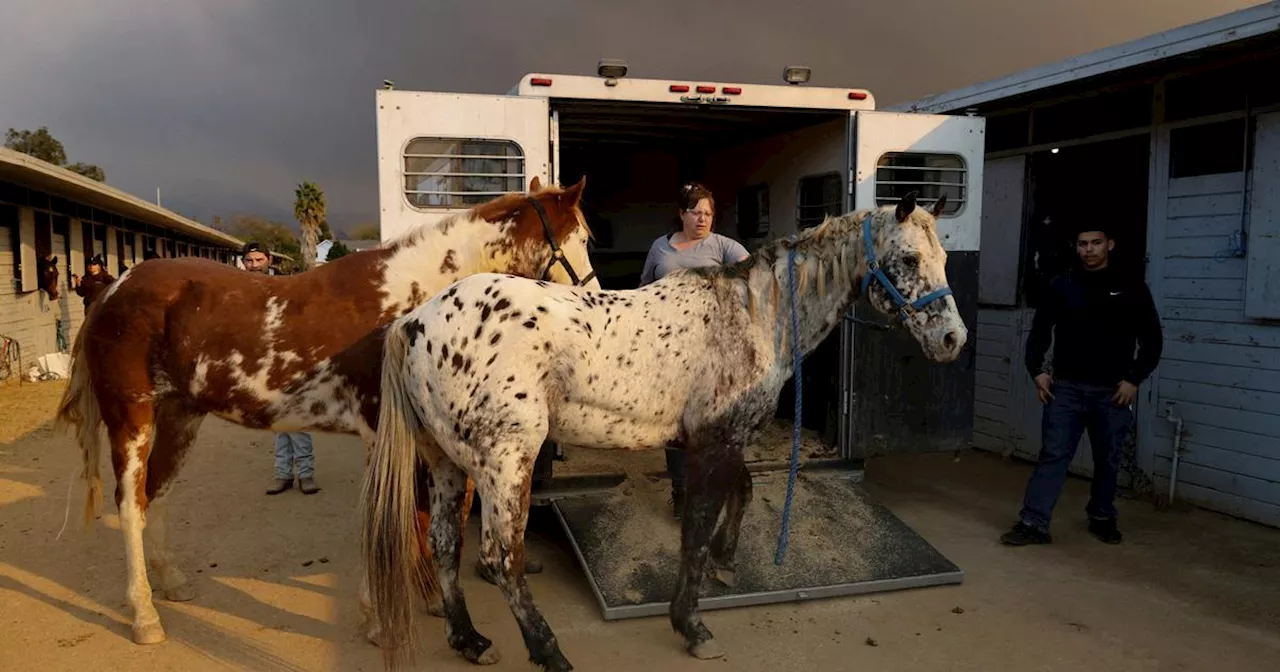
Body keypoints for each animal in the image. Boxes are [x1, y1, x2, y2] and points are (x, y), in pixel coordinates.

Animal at [52, 175, 601, 647]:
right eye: (580, 236)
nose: (595, 297)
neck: (409, 306)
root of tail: (113, 290)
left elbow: (418, 517)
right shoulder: (383, 434)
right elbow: (392, 518)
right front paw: (379, 620)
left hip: (180, 415)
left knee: (156, 494)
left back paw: (171, 582)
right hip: (132, 417)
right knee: (129, 504)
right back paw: (145, 615)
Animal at [358, 190, 962, 665]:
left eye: (945, 257)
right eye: (909, 257)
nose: (952, 339)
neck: (751, 316)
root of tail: (415, 322)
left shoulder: (725, 438)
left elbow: (740, 495)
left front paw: (726, 561)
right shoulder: (712, 443)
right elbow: (694, 530)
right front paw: (691, 625)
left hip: (444, 461)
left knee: (443, 543)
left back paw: (469, 640)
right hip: (506, 464)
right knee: (501, 558)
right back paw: (549, 652)